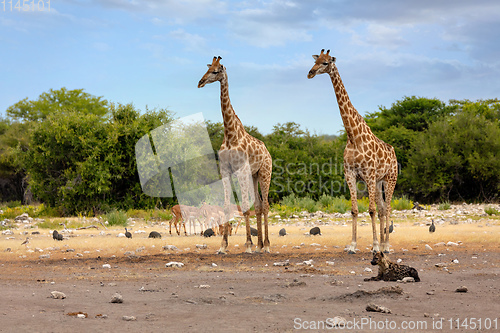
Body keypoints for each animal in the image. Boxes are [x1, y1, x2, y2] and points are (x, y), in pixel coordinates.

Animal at [198, 57, 274, 253]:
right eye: (208, 68)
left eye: (216, 71)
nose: (200, 82)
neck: (230, 135)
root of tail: (268, 153)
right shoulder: (225, 170)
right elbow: (226, 208)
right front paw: (223, 246)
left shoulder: (241, 170)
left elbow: (245, 207)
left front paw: (247, 245)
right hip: (254, 175)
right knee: (259, 205)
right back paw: (260, 245)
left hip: (265, 172)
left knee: (266, 205)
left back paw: (266, 245)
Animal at [306, 48, 396, 252]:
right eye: (316, 60)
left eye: (326, 62)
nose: (310, 73)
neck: (353, 135)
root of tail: (393, 151)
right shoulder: (350, 173)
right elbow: (355, 210)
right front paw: (353, 245)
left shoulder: (369, 174)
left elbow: (370, 210)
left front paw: (375, 246)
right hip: (379, 182)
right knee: (382, 208)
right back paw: (382, 242)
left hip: (390, 178)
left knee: (387, 208)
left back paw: (386, 245)